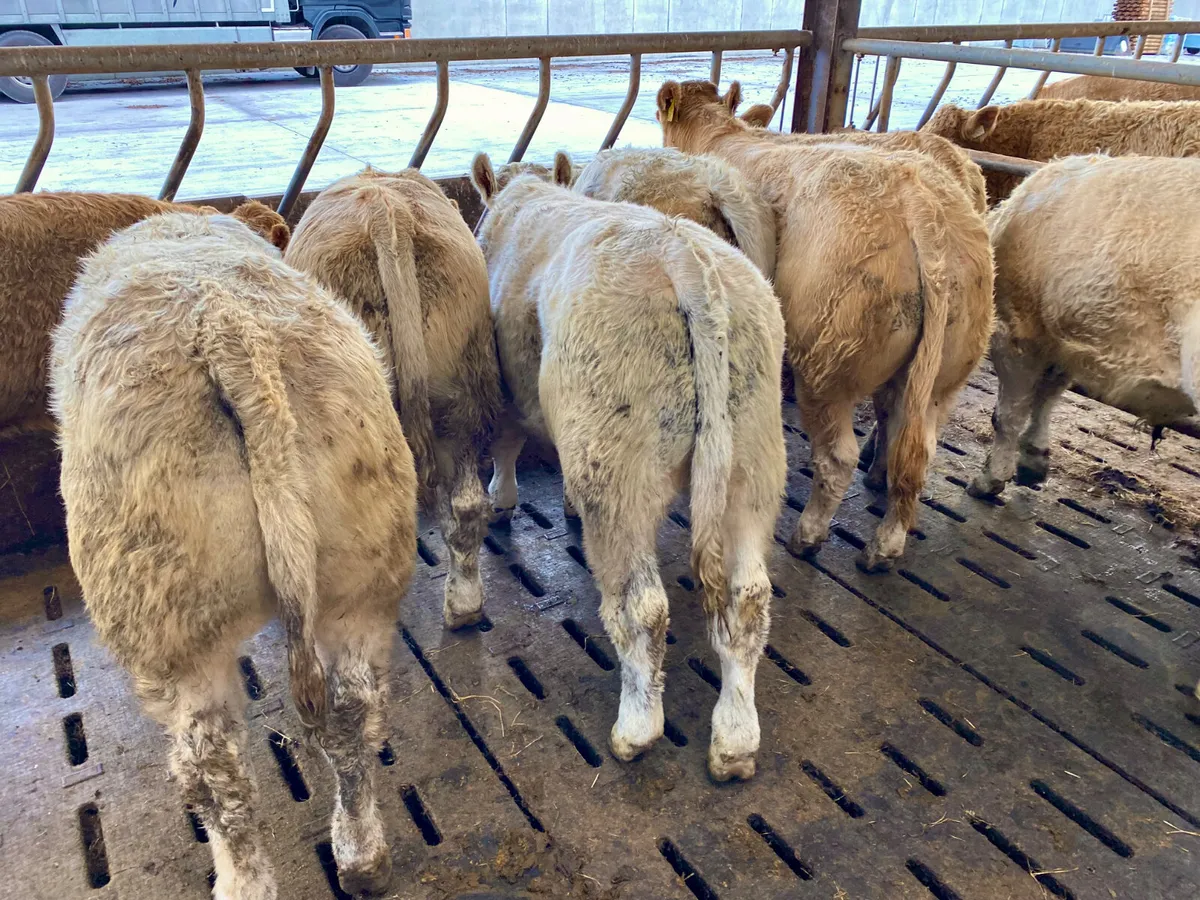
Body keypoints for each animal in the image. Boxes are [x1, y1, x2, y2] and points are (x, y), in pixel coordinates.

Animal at [50, 211, 416, 899]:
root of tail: (227, 327)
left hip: (168, 622)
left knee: (213, 767)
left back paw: (244, 880)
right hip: (363, 575)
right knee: (353, 712)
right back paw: (362, 857)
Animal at [968, 155, 1200, 516]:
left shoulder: (1017, 329)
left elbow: (1008, 415)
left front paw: (991, 478)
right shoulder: (1061, 341)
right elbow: (1047, 396)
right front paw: (1033, 461)